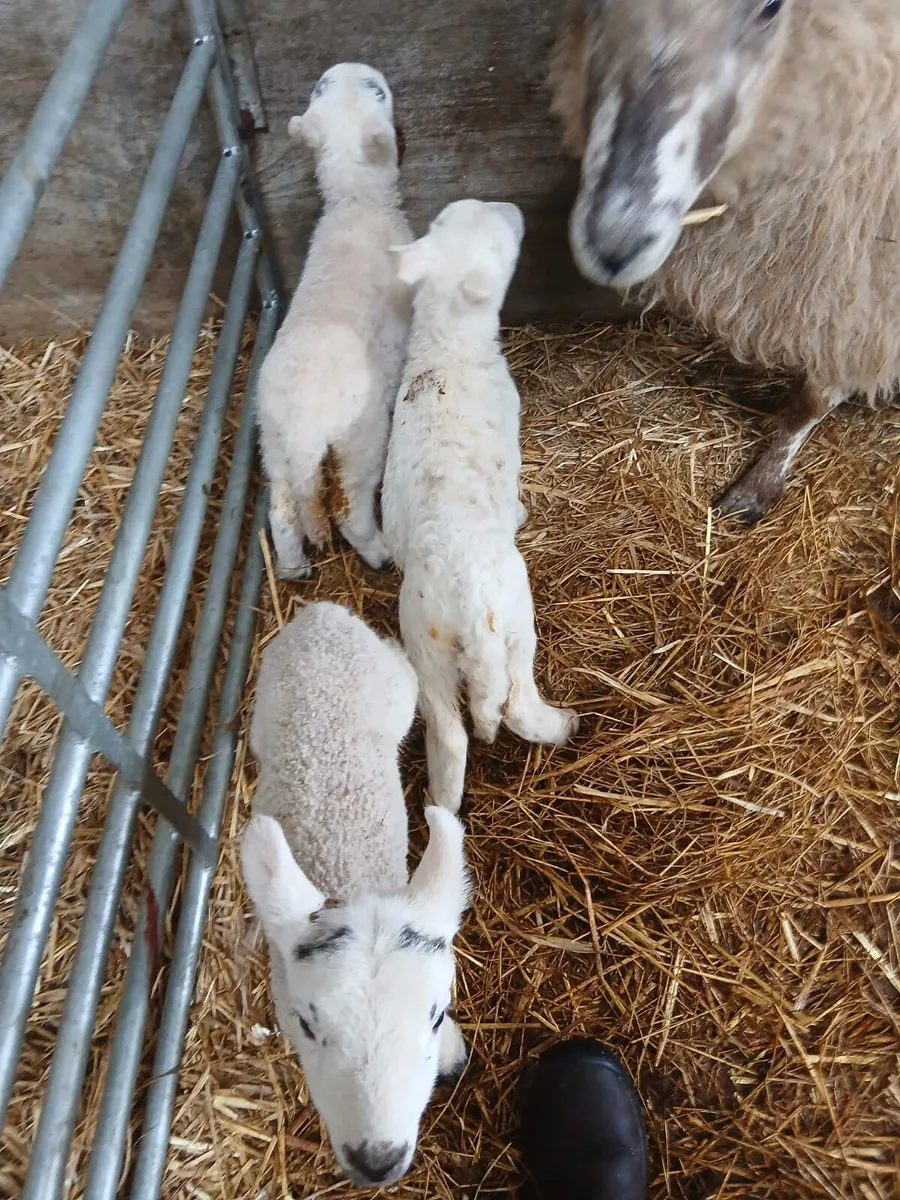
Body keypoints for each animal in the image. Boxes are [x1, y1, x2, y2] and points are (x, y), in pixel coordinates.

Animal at [239, 601, 469, 1189]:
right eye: (306, 1024)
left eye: (437, 1015)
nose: (377, 1159)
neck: (351, 874)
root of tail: (322, 614)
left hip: (397, 683)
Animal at [256, 63, 412, 577]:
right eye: (378, 92)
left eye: (319, 90)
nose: (348, 67)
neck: (355, 200)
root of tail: (303, 428)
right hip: (358, 437)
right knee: (348, 510)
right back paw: (380, 554)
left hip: (273, 442)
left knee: (282, 510)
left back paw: (292, 568)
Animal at [381, 199, 580, 815]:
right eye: (501, 245)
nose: (513, 209)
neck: (449, 344)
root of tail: (471, 614)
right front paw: (521, 515)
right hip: (514, 623)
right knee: (514, 706)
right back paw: (565, 724)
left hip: (424, 644)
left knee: (448, 734)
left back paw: (441, 810)